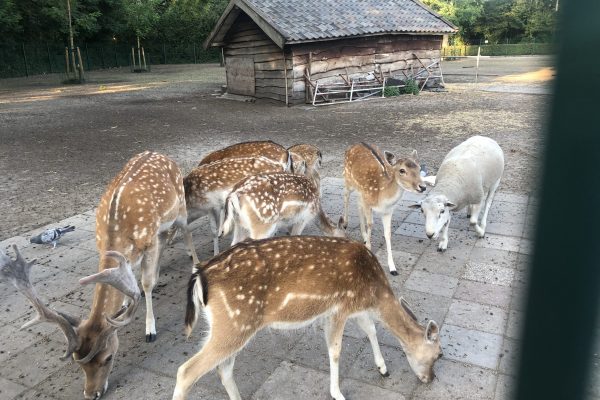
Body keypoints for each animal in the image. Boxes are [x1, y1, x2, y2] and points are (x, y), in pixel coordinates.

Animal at [171, 236, 442, 398]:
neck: (373, 292)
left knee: (223, 368)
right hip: (235, 323)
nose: (431, 379)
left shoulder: (349, 308)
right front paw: (337, 393)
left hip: (232, 325)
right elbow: (335, 350)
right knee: (186, 371)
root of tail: (201, 274)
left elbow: (370, 329)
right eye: (439, 354)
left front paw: (383, 368)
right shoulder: (339, 308)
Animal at [342, 142, 426, 276]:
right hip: (348, 179)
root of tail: (356, 144)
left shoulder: (388, 211)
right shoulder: (368, 202)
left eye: (419, 168)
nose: (422, 187)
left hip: (360, 192)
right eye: (402, 170)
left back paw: (363, 236)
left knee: (358, 205)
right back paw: (345, 223)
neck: (382, 196)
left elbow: (388, 233)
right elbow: (370, 224)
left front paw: (393, 268)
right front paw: (368, 249)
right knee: (346, 195)